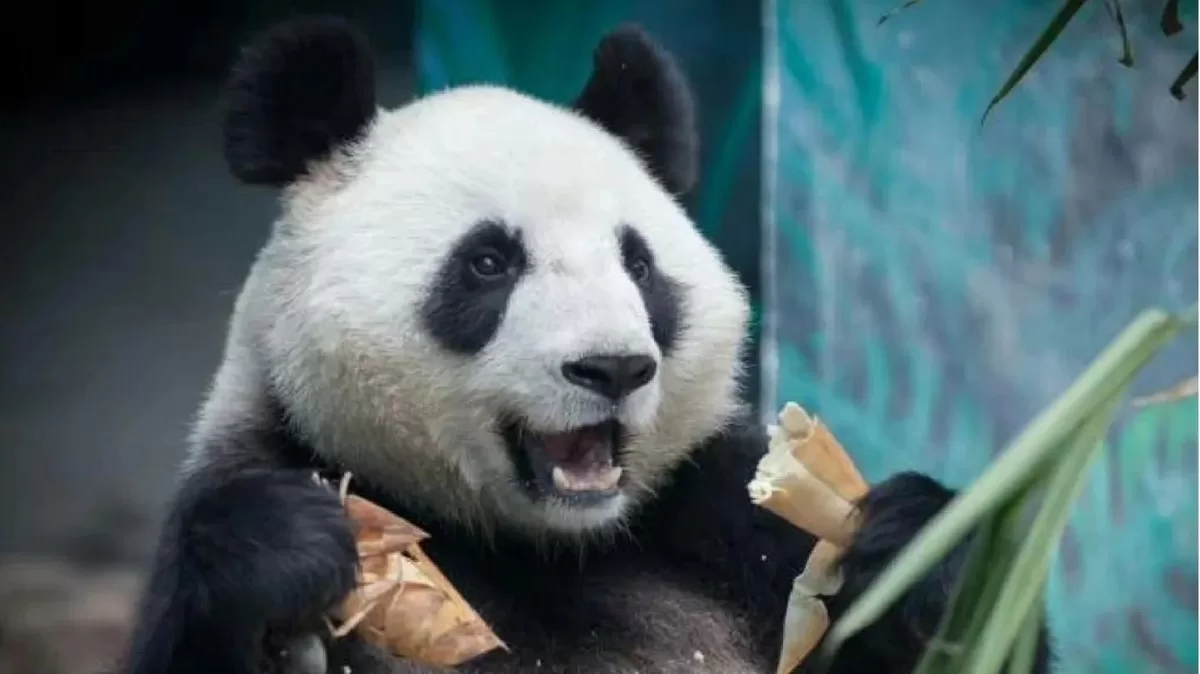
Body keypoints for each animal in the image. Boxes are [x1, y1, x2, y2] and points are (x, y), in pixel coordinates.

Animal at [119, 15, 1053, 674]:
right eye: (488, 263)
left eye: (637, 264)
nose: (613, 368)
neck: (546, 543)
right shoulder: (268, 450)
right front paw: (281, 562)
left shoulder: (713, 507)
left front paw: (922, 546)